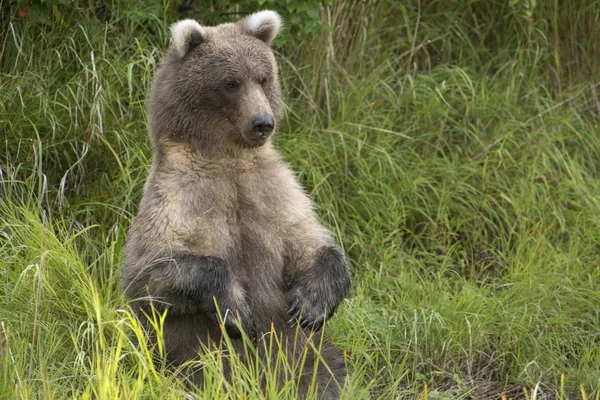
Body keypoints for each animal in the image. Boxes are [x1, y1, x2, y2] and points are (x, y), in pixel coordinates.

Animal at [121, 10, 352, 400]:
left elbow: (310, 242)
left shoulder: (273, 189)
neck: (228, 159)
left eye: (263, 77)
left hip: (305, 353)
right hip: (186, 361)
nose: (262, 123)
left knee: (327, 371)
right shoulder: (180, 196)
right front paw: (238, 313)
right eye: (231, 83)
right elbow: (151, 271)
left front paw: (311, 304)